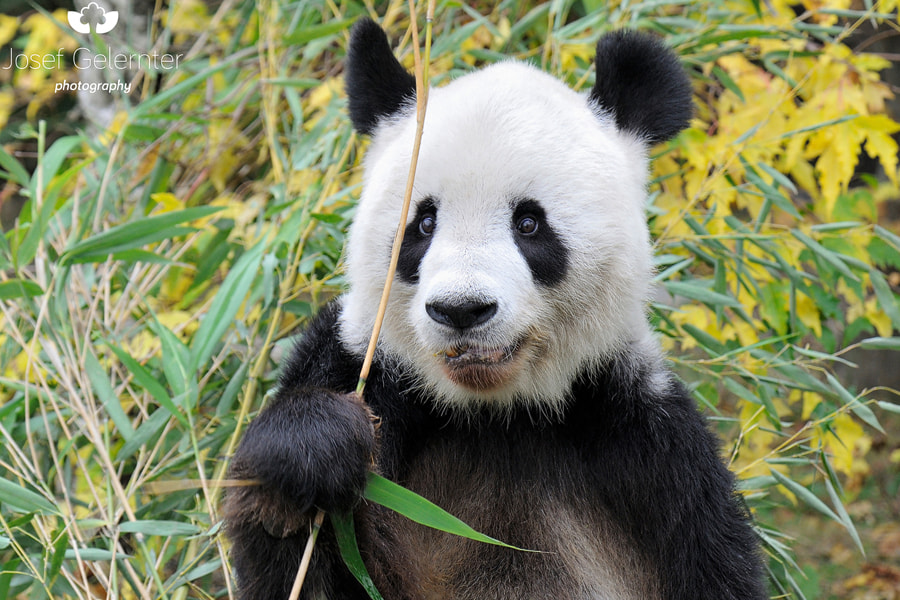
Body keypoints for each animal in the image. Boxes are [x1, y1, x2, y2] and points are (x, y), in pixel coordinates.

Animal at [224, 17, 767, 600]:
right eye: (424, 223)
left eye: (529, 223)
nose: (462, 309)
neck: (495, 413)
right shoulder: (363, 372)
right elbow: (294, 561)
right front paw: (313, 452)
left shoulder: (647, 447)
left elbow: (714, 565)